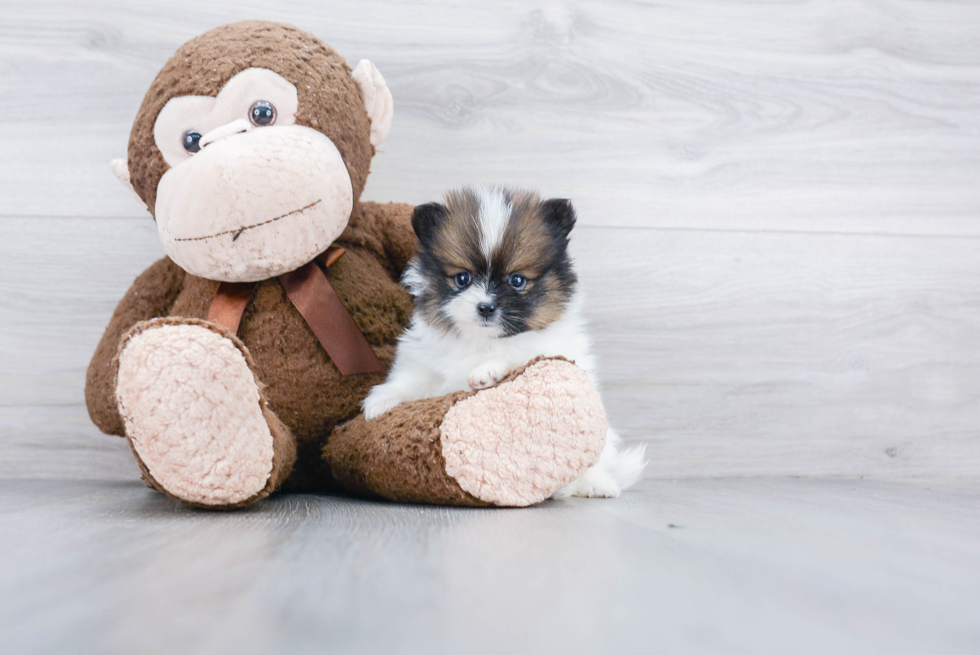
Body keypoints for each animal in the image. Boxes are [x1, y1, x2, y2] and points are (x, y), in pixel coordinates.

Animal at [364, 184, 648, 498]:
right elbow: (410, 380)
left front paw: (487, 371)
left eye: (517, 280)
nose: (486, 307)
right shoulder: (425, 359)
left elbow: (516, 354)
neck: (482, 340)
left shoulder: (547, 348)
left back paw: (597, 484)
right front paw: (380, 400)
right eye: (462, 278)